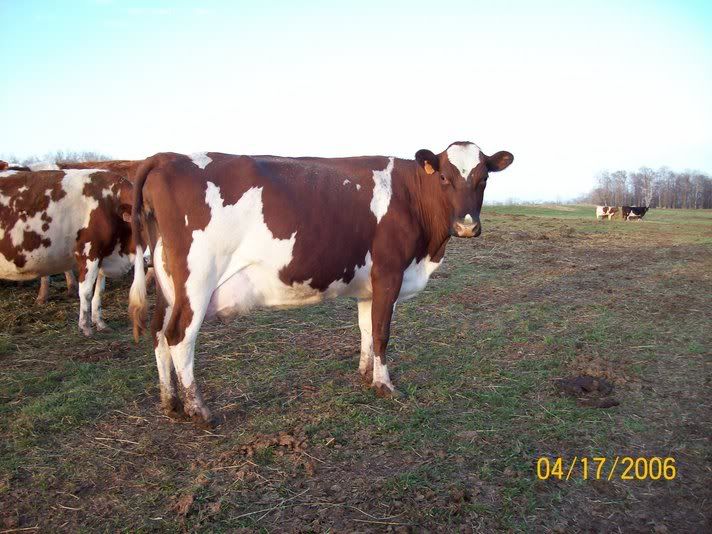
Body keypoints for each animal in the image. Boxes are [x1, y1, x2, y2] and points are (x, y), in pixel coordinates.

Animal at [0, 169, 136, 335]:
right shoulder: (89, 252)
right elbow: (86, 291)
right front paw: (85, 327)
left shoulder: (103, 254)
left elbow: (99, 290)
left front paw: (100, 323)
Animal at [127, 142, 513, 428]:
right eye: (445, 177)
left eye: (483, 178)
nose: (467, 225)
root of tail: (165, 157)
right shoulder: (389, 273)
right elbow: (382, 332)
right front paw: (384, 385)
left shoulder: (369, 285)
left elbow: (366, 328)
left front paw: (365, 374)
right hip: (197, 280)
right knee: (179, 337)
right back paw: (199, 410)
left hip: (168, 284)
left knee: (158, 333)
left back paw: (170, 402)